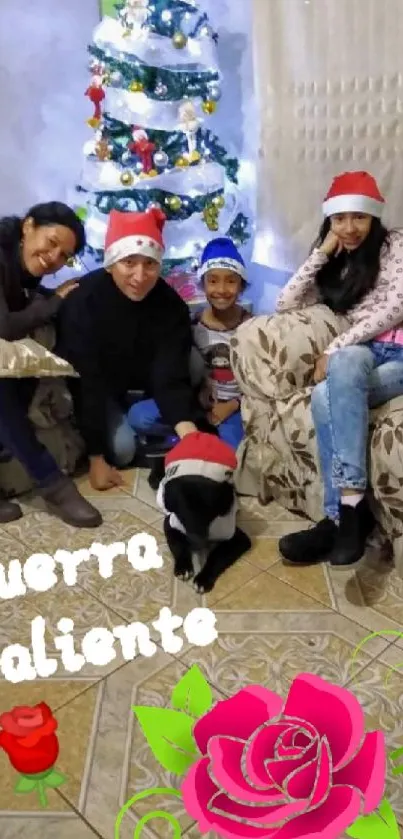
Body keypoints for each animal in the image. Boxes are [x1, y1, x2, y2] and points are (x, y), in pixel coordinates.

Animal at [156, 434, 251, 592]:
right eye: (184, 510)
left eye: (209, 510)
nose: (198, 541)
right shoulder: (170, 524)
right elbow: (178, 545)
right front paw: (183, 567)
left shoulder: (238, 538)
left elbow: (217, 556)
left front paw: (203, 578)